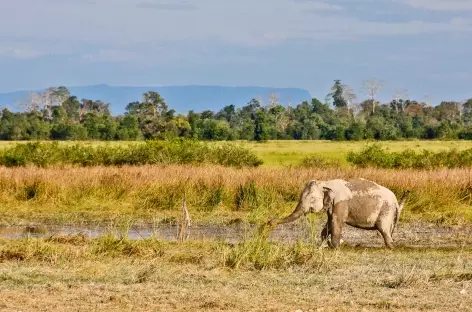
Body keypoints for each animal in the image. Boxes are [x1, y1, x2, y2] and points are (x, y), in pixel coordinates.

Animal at [270, 178, 410, 249]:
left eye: (312, 199)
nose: (270, 221)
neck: (325, 182)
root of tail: (396, 201)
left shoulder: (340, 203)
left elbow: (336, 222)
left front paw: (334, 248)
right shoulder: (332, 205)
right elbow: (328, 223)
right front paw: (322, 245)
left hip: (386, 210)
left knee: (383, 229)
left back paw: (391, 247)